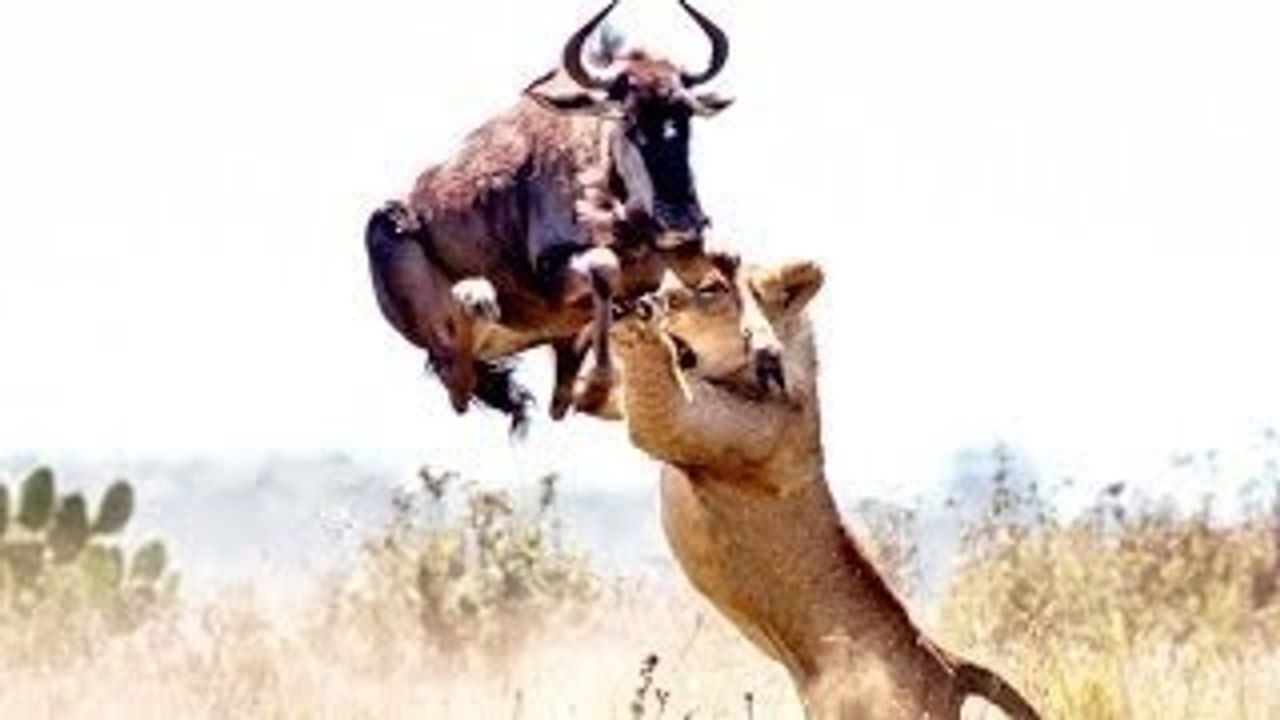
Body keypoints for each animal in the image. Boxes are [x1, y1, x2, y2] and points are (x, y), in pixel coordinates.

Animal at [609, 258, 1042, 720]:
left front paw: (635, 321)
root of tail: (951, 665)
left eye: (710, 287)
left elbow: (658, 402)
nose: (650, 296)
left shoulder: (692, 425)